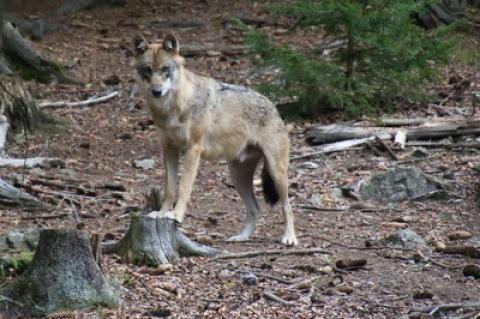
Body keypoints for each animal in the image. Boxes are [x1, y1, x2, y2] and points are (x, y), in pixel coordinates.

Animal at [131, 32, 296, 246]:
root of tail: (273, 106)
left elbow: (183, 188)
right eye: (147, 70)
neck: (172, 107)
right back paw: (241, 237)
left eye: (165, 69)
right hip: (237, 176)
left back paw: (289, 237)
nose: (156, 91)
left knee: (288, 206)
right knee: (255, 208)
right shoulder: (169, 148)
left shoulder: (193, 149)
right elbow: (170, 188)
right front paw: (161, 213)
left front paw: (175, 216)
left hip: (277, 173)